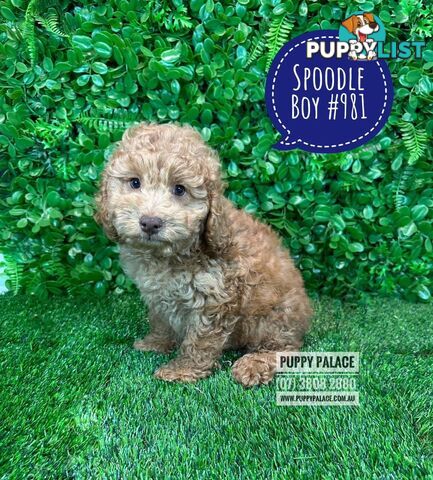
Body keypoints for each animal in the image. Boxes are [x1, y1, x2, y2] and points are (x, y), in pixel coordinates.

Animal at [93, 124, 310, 386]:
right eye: (135, 183)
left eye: (180, 189)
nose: (150, 222)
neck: (169, 254)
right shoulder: (158, 295)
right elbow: (160, 321)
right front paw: (156, 343)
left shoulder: (216, 297)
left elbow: (200, 339)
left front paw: (183, 369)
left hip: (274, 318)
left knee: (286, 348)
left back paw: (254, 364)